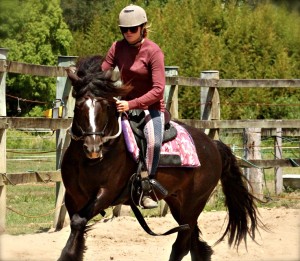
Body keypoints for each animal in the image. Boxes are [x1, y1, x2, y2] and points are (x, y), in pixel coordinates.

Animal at [58, 55, 262, 260]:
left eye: (106, 105)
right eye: (78, 105)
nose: (93, 147)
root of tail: (213, 145)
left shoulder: (106, 193)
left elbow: (77, 222)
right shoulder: (73, 197)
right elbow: (77, 229)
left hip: (193, 204)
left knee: (182, 245)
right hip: (177, 202)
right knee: (195, 244)